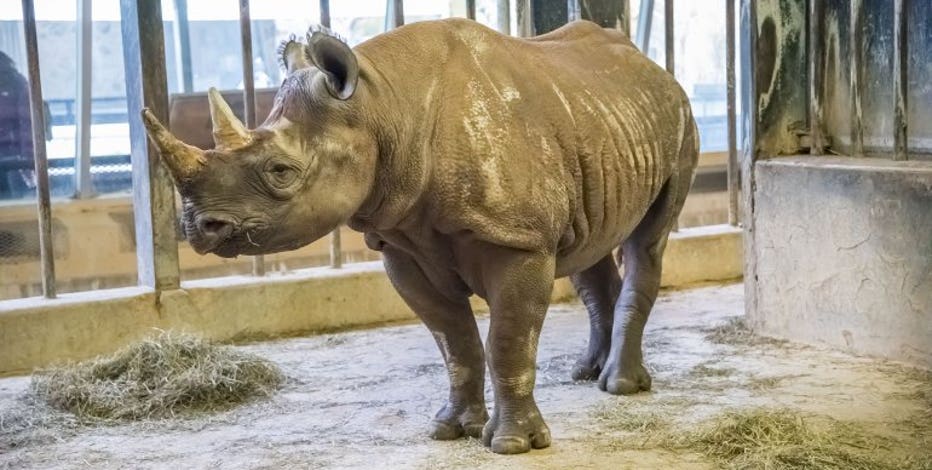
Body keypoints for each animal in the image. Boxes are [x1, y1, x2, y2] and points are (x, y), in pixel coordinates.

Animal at [142, 18, 698, 454]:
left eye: (281, 171)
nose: (199, 227)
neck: (382, 106)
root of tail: (651, 66)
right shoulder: (401, 242)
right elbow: (455, 341)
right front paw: (451, 430)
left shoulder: (518, 241)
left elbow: (507, 340)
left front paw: (512, 445)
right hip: (597, 126)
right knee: (588, 246)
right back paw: (587, 373)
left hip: (678, 118)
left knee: (646, 244)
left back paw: (621, 386)